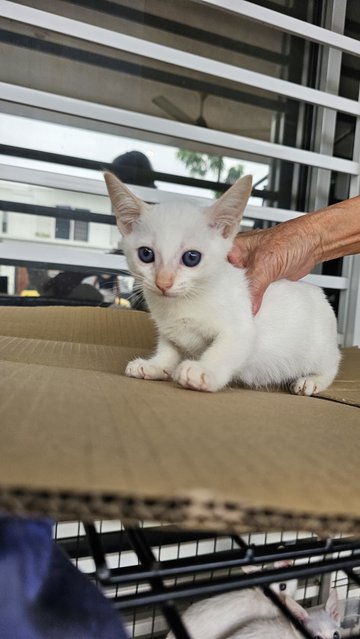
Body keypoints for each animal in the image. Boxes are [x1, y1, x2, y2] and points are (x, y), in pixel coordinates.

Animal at [104, 174, 340, 396]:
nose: (163, 282)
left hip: (318, 349)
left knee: (333, 363)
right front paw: (155, 365)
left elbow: (223, 350)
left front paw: (202, 371)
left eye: (191, 258)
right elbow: (168, 348)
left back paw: (313, 381)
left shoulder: (242, 328)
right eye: (146, 254)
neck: (183, 304)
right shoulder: (169, 330)